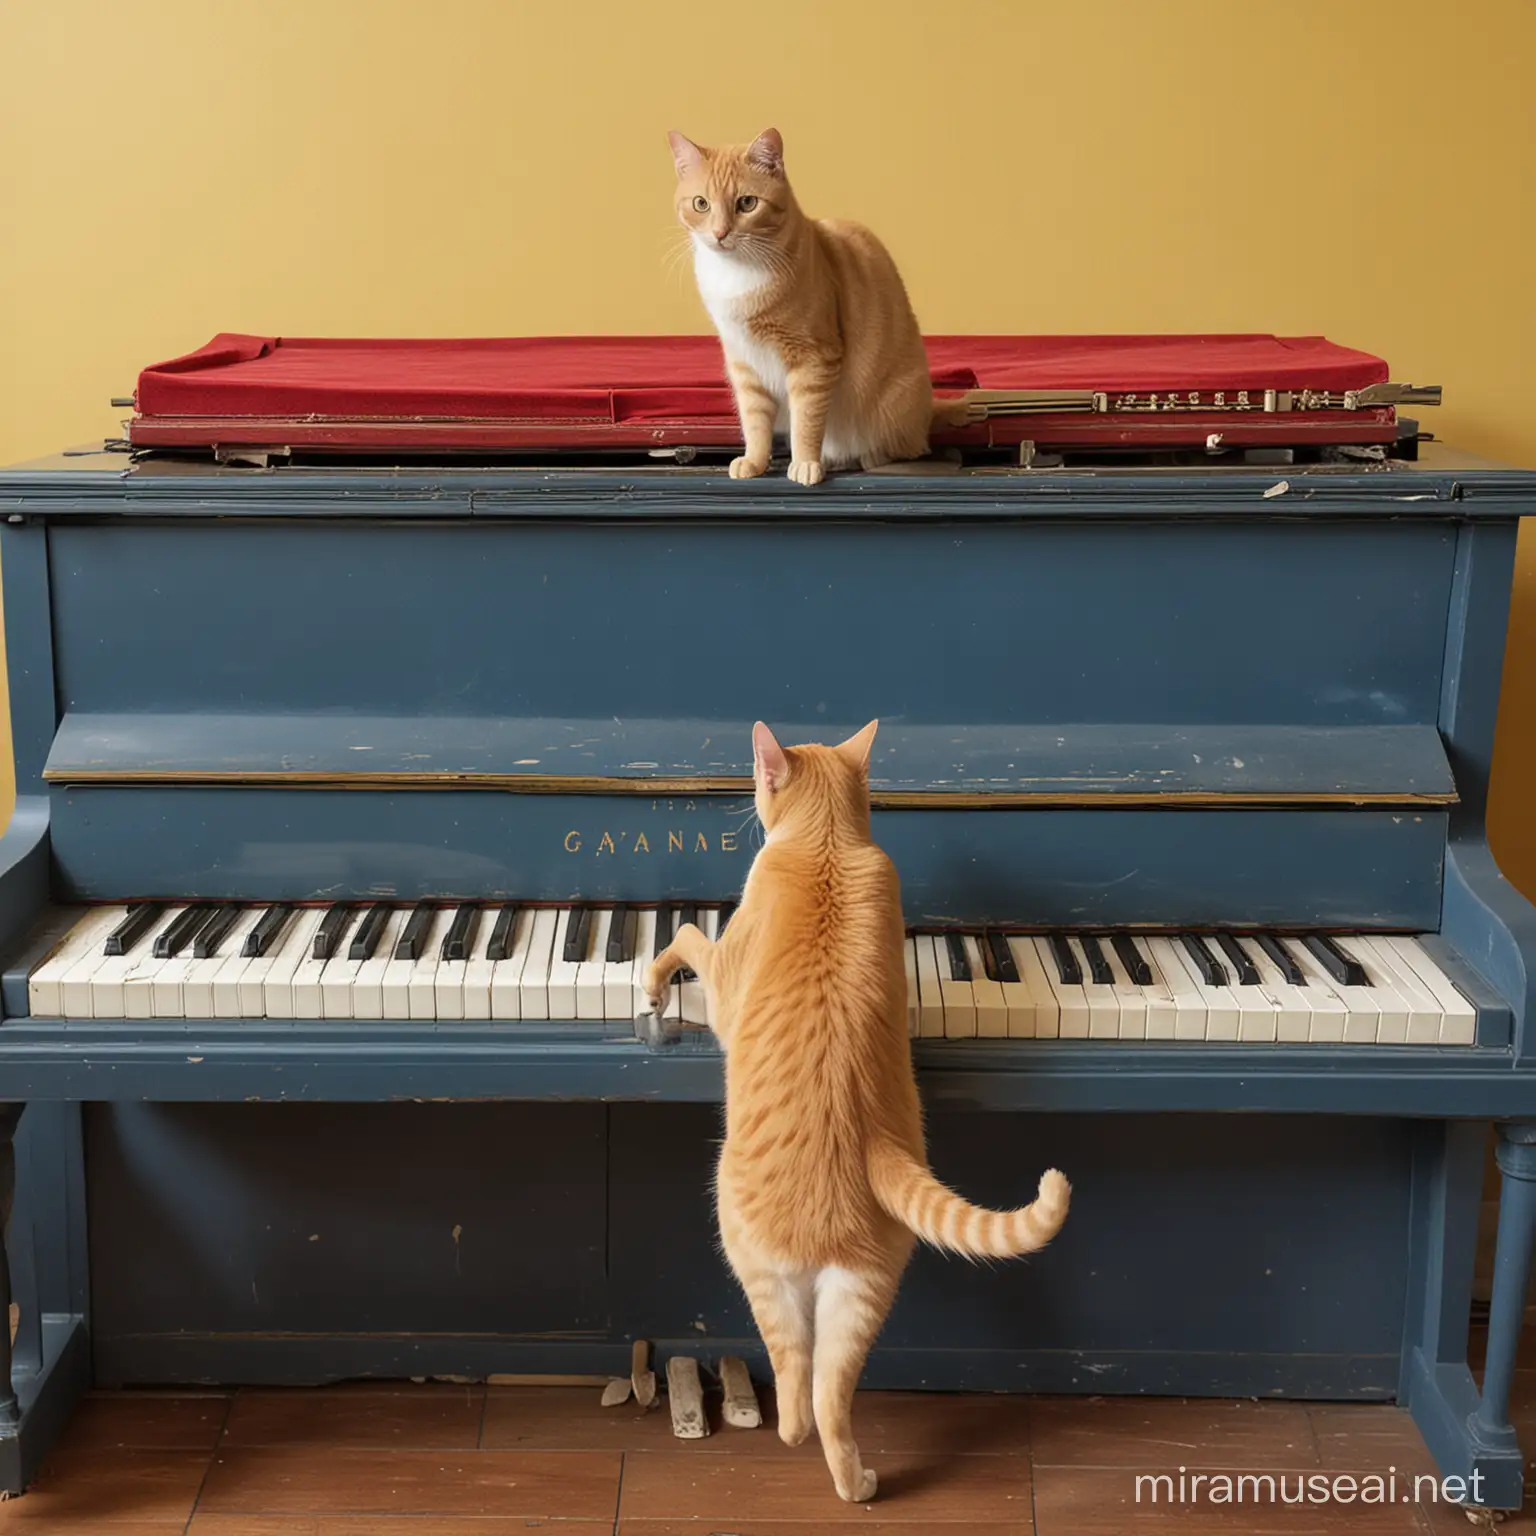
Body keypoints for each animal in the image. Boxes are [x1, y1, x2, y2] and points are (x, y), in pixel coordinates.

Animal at [638, 721, 1069, 1499]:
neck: (829, 842)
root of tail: (867, 1142)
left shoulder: (721, 978)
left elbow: (682, 936)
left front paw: (654, 984)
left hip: (752, 1255)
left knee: (795, 1384)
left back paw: (772, 1425)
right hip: (866, 1287)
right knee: (827, 1400)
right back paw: (857, 1484)